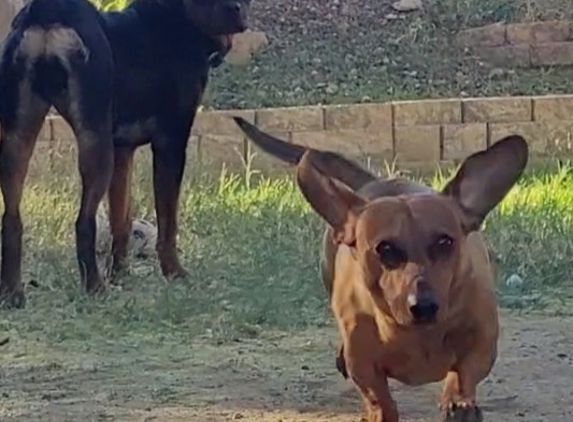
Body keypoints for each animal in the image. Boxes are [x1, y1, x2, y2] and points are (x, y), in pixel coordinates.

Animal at [0, 0, 249, 306]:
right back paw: (94, 287)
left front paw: (120, 274)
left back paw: (13, 293)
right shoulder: (171, 143)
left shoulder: (122, 151)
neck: (178, 20)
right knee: (84, 222)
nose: (238, 10)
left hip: (18, 136)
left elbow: (121, 219)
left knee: (11, 218)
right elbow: (168, 221)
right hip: (95, 140)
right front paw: (174, 273)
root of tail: (49, 13)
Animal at [232, 116, 528, 422]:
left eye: (445, 242)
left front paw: (458, 404)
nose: (423, 306)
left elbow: (464, 373)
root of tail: (374, 182)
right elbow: (378, 396)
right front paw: (379, 411)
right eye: (384, 248)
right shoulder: (363, 363)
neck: (414, 334)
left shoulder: (481, 342)